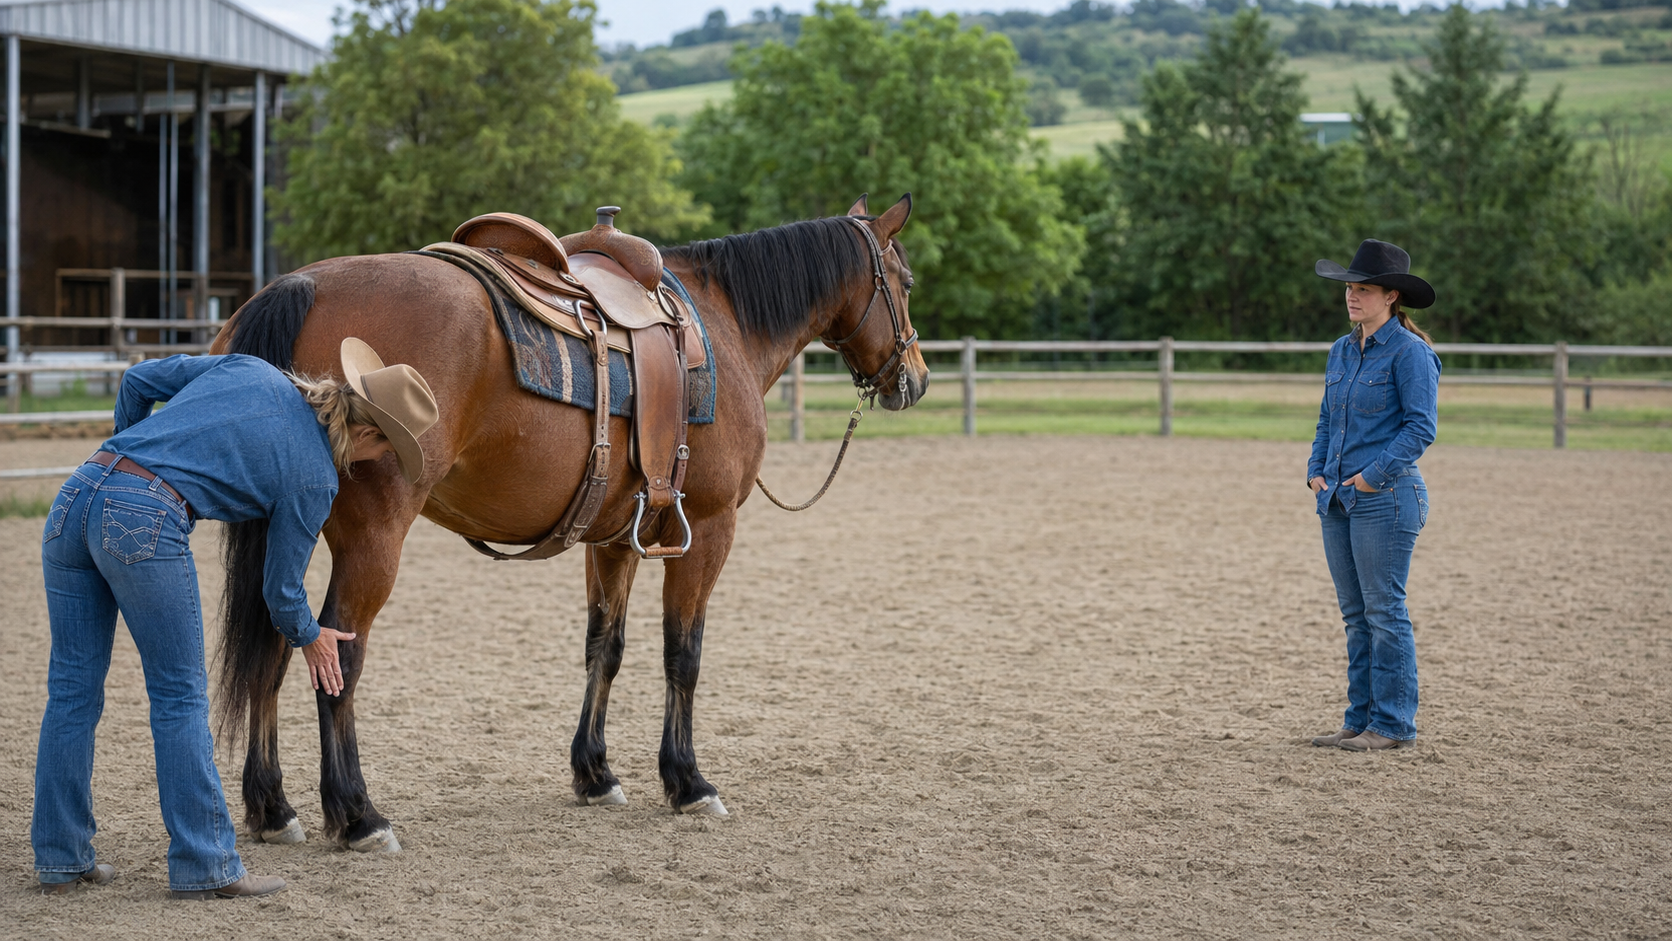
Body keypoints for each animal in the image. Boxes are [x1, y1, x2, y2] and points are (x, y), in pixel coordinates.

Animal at [209, 194, 927, 852]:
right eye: (907, 280)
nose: (915, 378)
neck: (725, 324)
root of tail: (300, 286)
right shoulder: (708, 529)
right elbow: (684, 654)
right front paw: (687, 781)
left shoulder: (615, 539)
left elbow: (604, 647)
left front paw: (595, 771)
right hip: (373, 537)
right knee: (340, 654)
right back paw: (358, 813)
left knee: (274, 644)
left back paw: (273, 806)